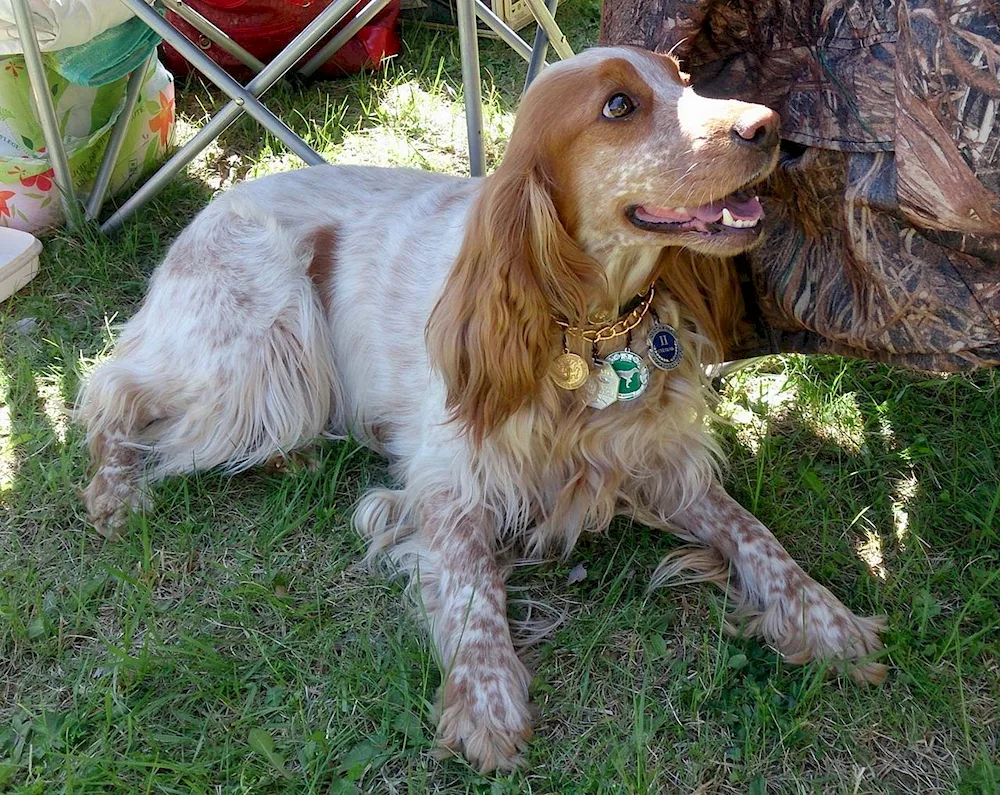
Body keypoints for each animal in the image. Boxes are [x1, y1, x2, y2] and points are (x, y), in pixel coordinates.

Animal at [82, 46, 888, 776]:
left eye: (684, 78)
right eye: (618, 106)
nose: (771, 124)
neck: (587, 329)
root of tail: (206, 212)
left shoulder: (660, 463)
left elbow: (758, 537)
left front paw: (829, 619)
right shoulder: (450, 483)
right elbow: (474, 591)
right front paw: (487, 703)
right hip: (269, 362)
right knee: (115, 389)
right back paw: (116, 491)